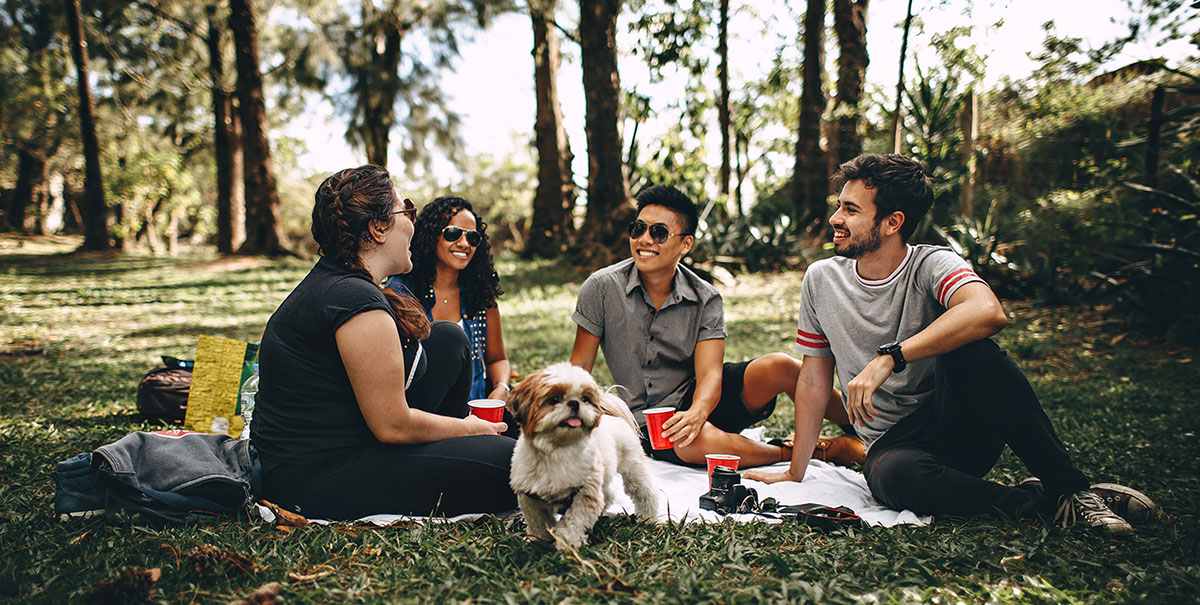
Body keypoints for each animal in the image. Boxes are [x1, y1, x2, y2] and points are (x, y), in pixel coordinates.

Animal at [504, 362, 662, 549]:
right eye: (554, 399)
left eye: (585, 399)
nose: (574, 403)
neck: (557, 449)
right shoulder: (530, 497)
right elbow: (538, 521)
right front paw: (537, 540)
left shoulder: (585, 493)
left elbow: (573, 522)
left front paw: (567, 543)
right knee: (608, 494)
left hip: (633, 469)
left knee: (646, 493)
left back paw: (648, 518)